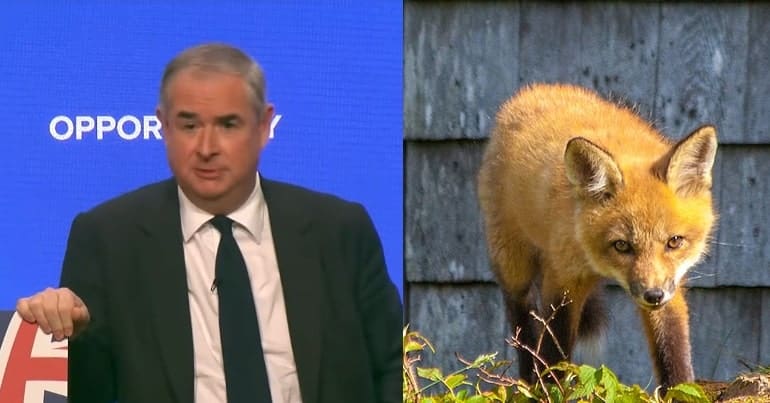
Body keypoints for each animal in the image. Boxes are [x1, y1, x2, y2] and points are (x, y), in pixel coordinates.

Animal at [476, 83, 716, 390]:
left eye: (674, 242)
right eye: (622, 245)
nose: (653, 295)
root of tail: (536, 90)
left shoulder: (670, 286)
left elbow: (673, 350)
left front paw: (680, 388)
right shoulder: (563, 280)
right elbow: (554, 354)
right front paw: (550, 390)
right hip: (514, 264)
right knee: (522, 321)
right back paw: (527, 382)